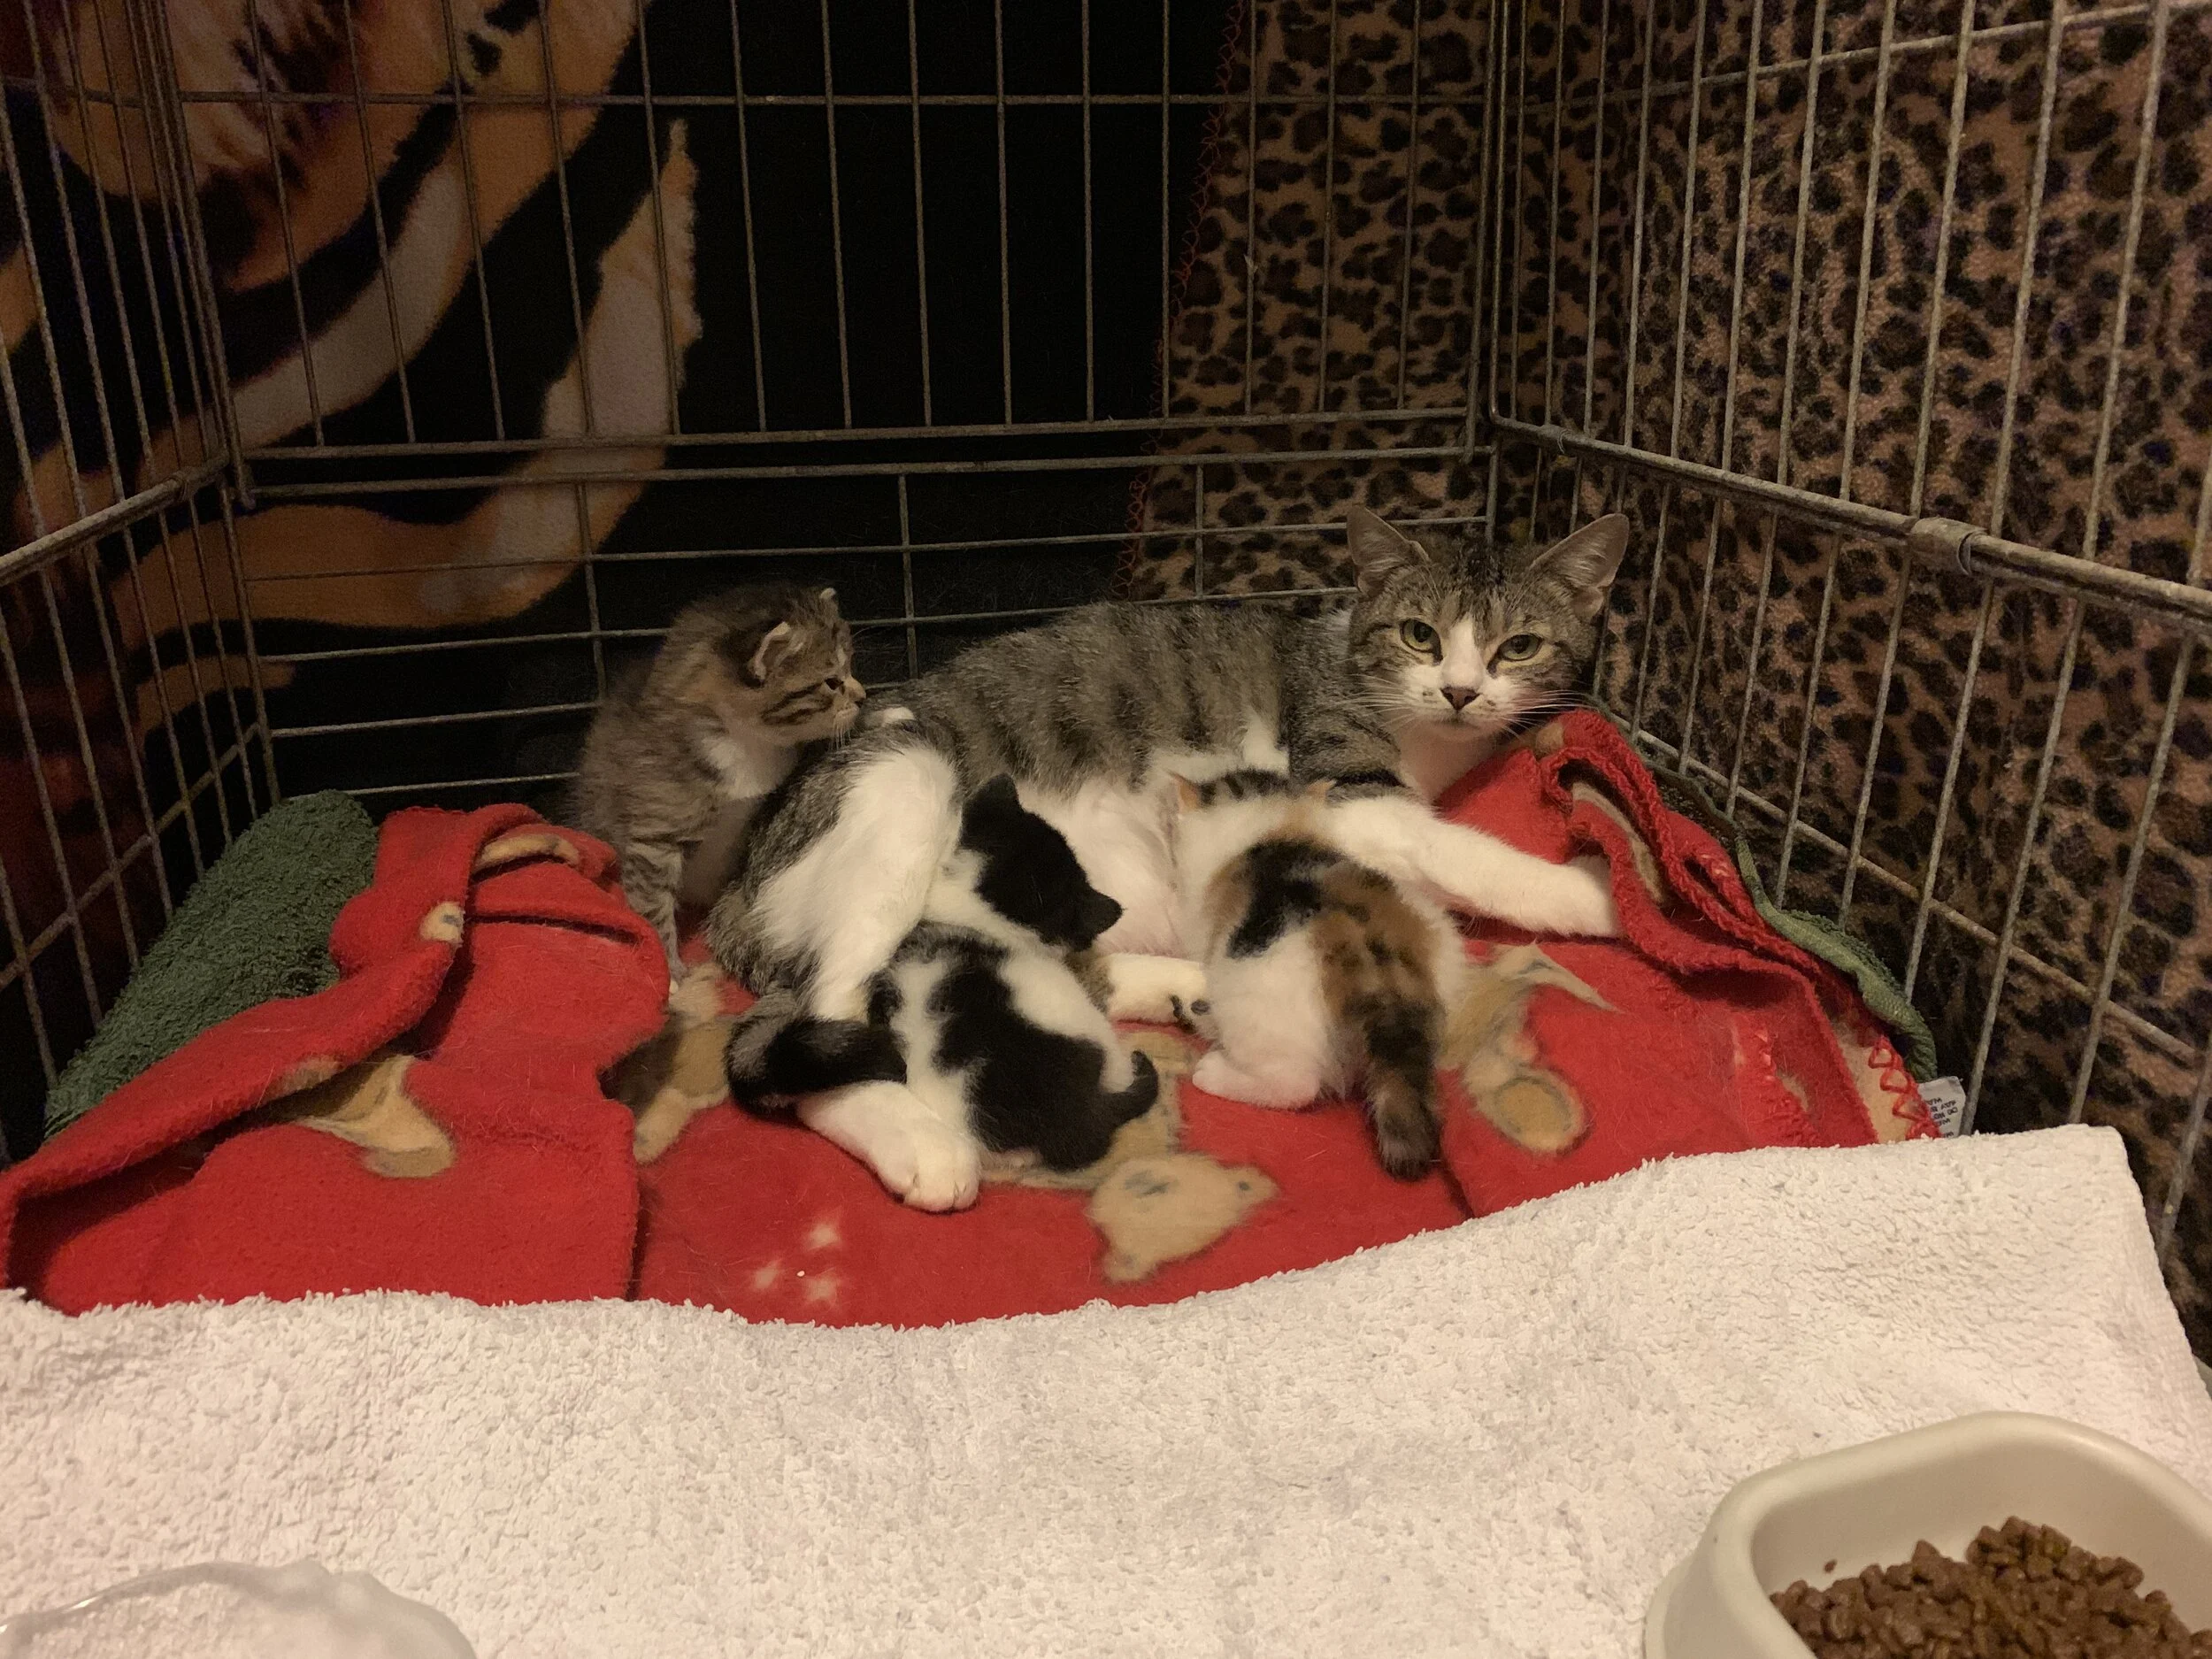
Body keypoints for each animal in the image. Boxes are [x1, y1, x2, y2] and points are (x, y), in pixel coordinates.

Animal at [572, 583, 864, 973]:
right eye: (832, 682)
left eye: (851, 667)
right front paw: (671, 971)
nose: (863, 697)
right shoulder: (653, 836)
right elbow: (653, 906)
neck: (747, 745)